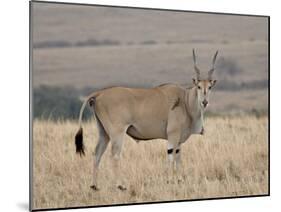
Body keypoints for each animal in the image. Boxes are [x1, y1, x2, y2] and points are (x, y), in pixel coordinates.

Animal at [74, 49, 217, 190]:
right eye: (198, 86)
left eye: (210, 87)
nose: (204, 102)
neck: (185, 100)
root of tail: (99, 94)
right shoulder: (173, 135)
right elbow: (171, 156)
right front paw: (170, 181)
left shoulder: (179, 140)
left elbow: (178, 158)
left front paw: (180, 180)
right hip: (117, 133)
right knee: (115, 155)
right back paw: (120, 185)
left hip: (103, 133)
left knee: (97, 153)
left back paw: (94, 186)